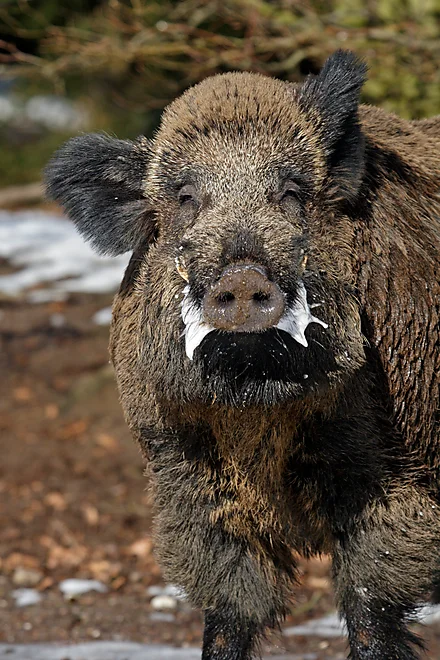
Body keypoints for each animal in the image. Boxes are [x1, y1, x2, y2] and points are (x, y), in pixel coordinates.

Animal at [45, 50, 440, 659]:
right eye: (185, 198)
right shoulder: (187, 477)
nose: (244, 276)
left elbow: (370, 604)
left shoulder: (392, 469)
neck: (257, 415)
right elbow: (231, 606)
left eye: (292, 193)